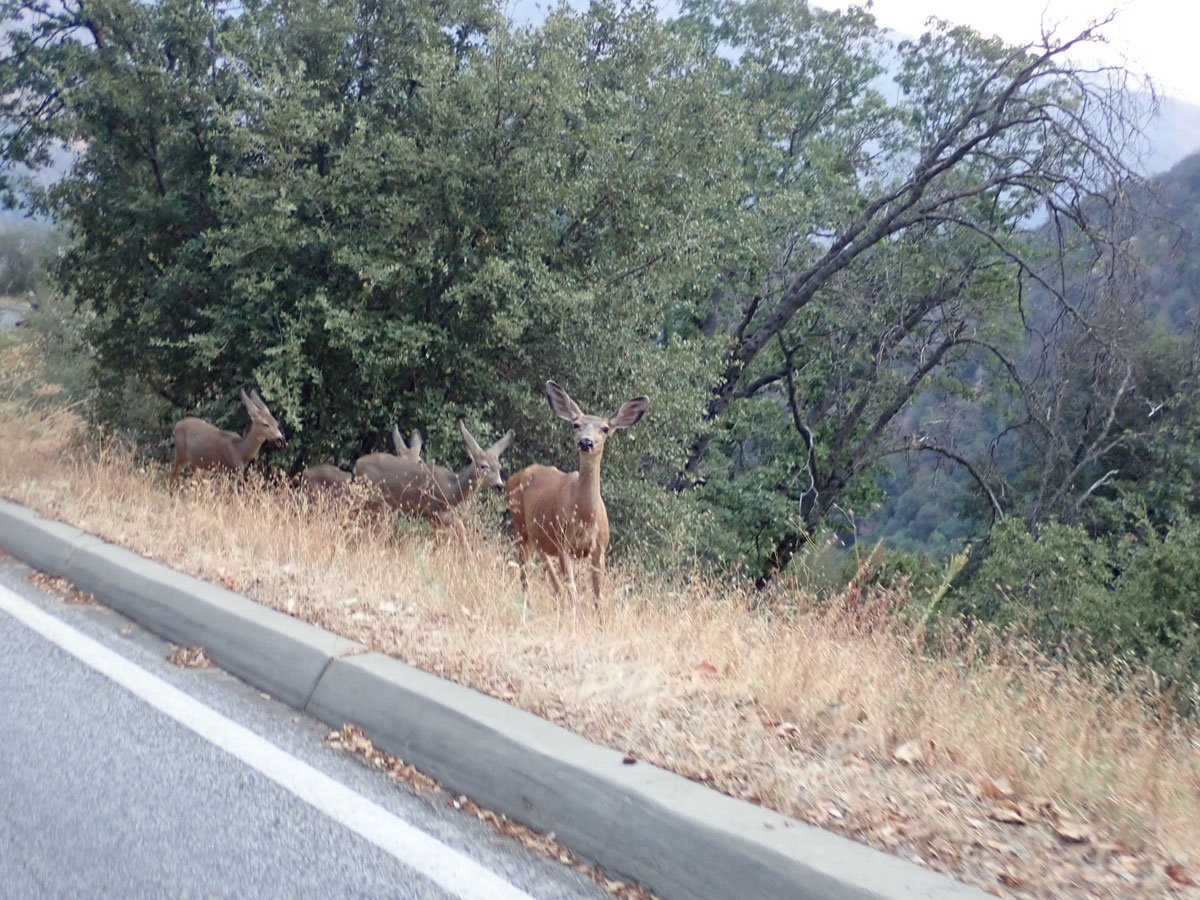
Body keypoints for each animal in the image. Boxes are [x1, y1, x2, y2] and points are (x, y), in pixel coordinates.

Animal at [350, 420, 511, 540]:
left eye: (499, 466)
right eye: (484, 466)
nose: (499, 485)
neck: (452, 487)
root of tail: (356, 465)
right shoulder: (434, 509)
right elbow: (457, 525)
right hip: (376, 499)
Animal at [504, 381, 648, 607]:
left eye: (605, 428)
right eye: (576, 425)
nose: (586, 442)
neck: (585, 518)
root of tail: (513, 478)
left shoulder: (599, 548)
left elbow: (598, 596)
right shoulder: (564, 544)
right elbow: (574, 592)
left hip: (539, 535)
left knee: (546, 569)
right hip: (522, 526)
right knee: (525, 568)